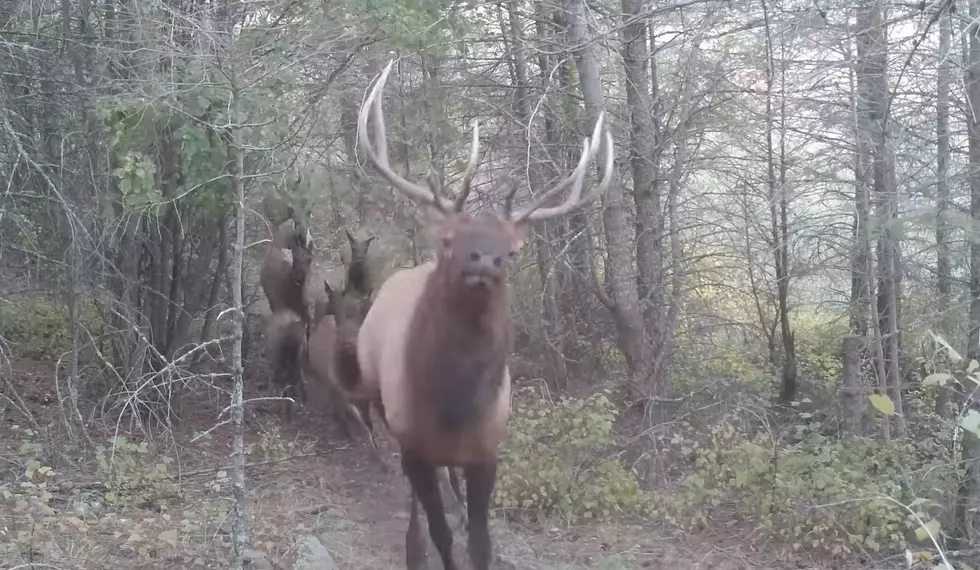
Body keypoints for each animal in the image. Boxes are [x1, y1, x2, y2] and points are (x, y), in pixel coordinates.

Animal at [352, 61, 612, 568]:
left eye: (513, 250)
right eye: (448, 238)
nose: (485, 260)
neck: (453, 410)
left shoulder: (488, 448)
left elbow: (480, 541)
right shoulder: (413, 442)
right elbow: (441, 534)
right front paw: (427, 543)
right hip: (377, 395)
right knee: (416, 502)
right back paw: (413, 544)